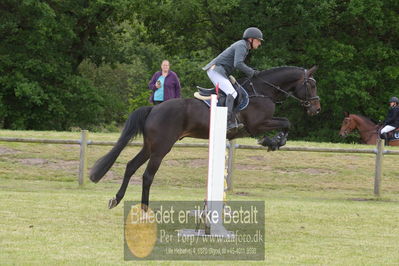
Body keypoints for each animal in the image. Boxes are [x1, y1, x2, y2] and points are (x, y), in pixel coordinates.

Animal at [90, 65, 322, 209]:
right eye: (311, 85)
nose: (316, 109)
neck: (263, 90)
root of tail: (153, 109)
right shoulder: (257, 125)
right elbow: (286, 122)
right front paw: (273, 141)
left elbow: (286, 122)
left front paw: (275, 142)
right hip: (161, 148)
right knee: (147, 175)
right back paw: (145, 208)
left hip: (150, 146)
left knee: (131, 166)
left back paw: (116, 199)